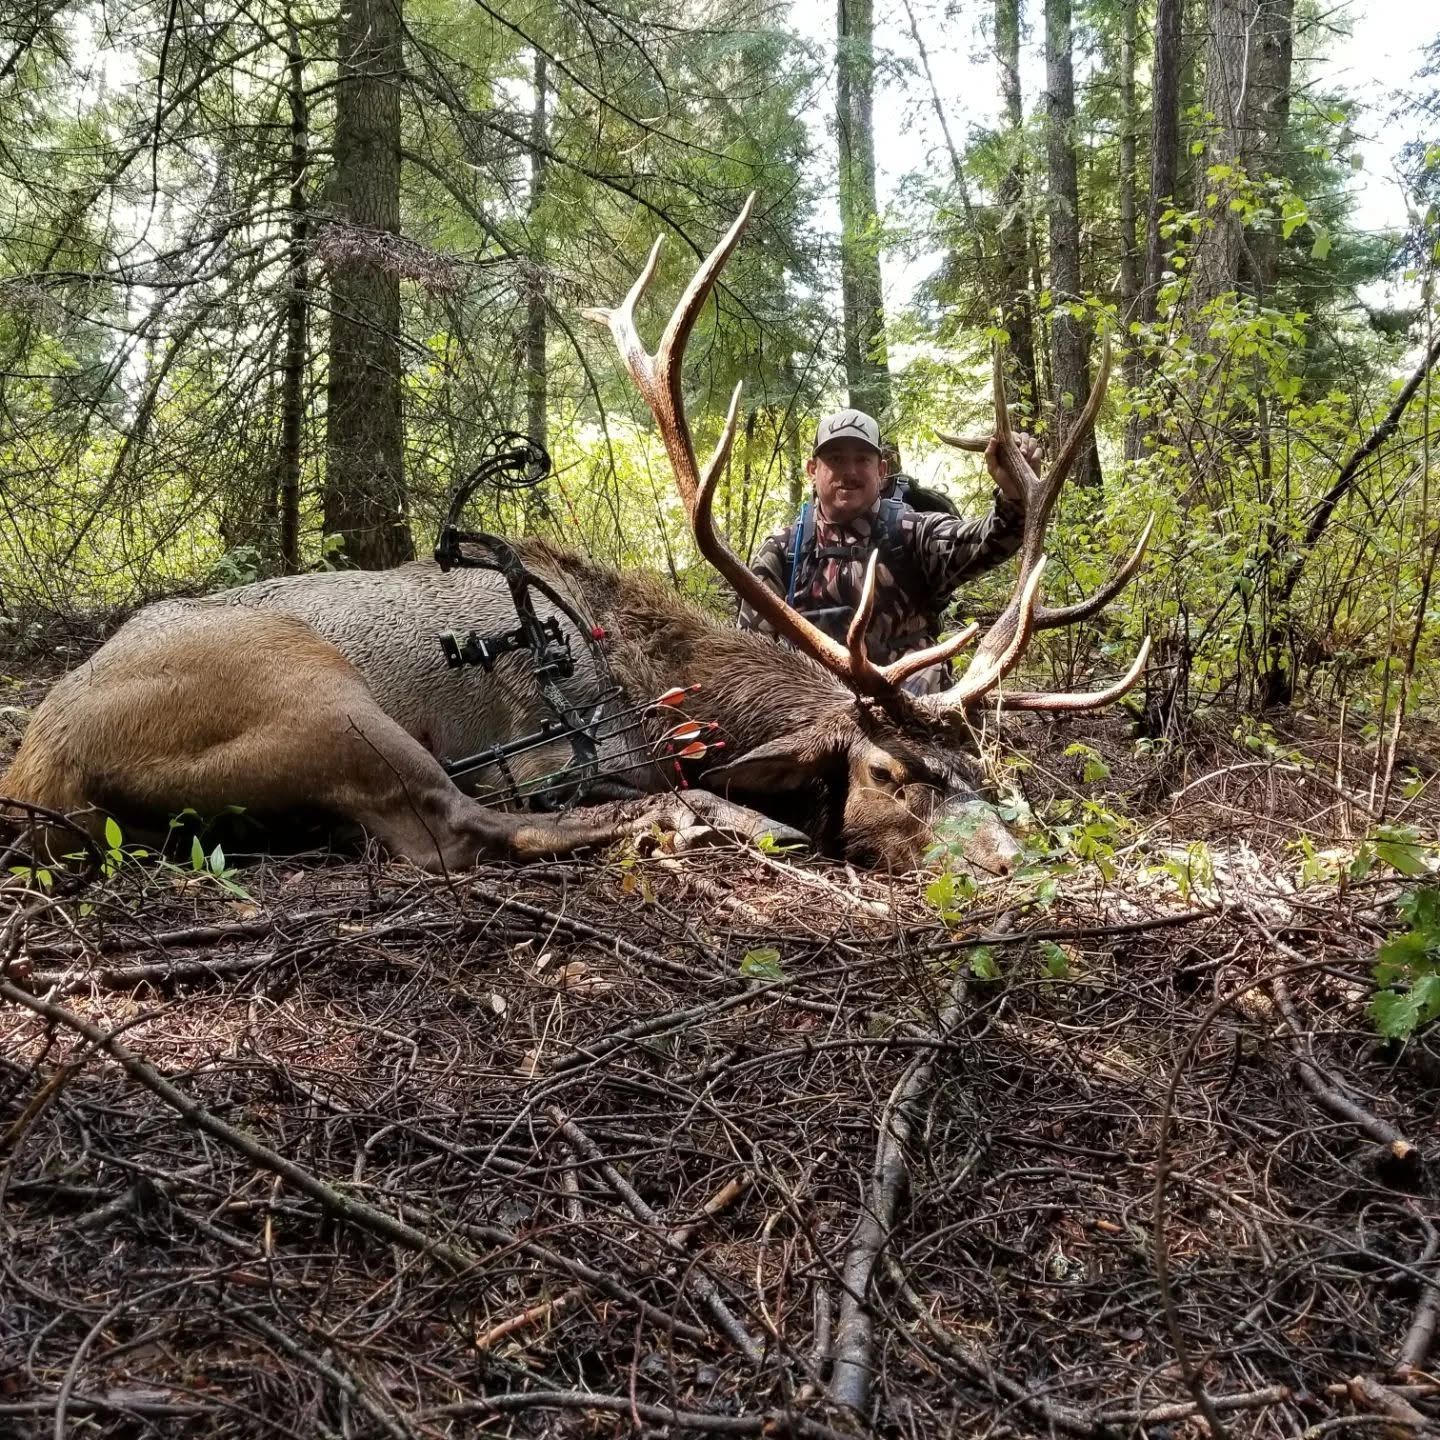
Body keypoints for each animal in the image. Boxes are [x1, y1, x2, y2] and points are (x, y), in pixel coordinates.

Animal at [0, 196, 1151, 878]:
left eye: (972, 766)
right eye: (886, 771)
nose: (1013, 856)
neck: (649, 677)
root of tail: (39, 768)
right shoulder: (550, 754)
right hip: (312, 695)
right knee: (451, 828)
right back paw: (704, 824)